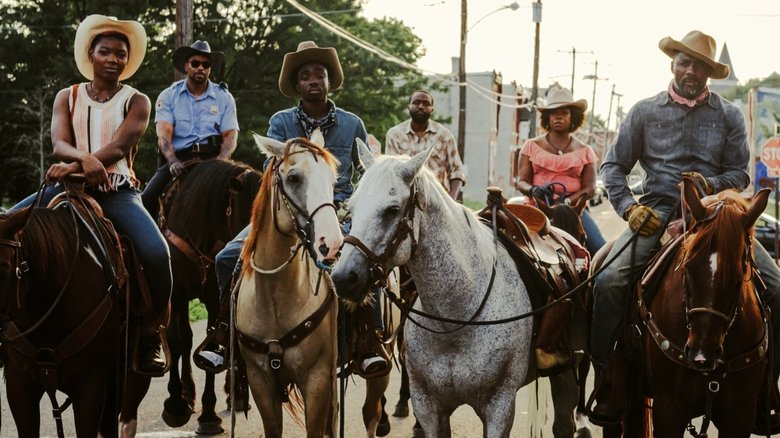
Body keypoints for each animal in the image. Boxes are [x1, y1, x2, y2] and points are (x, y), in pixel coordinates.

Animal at [156, 159, 262, 432]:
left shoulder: (216, 299)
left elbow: (215, 343)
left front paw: (208, 416)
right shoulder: (177, 296)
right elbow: (177, 341)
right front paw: (176, 405)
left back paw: (235, 393)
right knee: (184, 339)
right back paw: (187, 393)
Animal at [332, 144, 540, 438]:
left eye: (392, 210)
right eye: (351, 208)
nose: (343, 277)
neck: (456, 320)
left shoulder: (500, 408)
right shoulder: (429, 406)